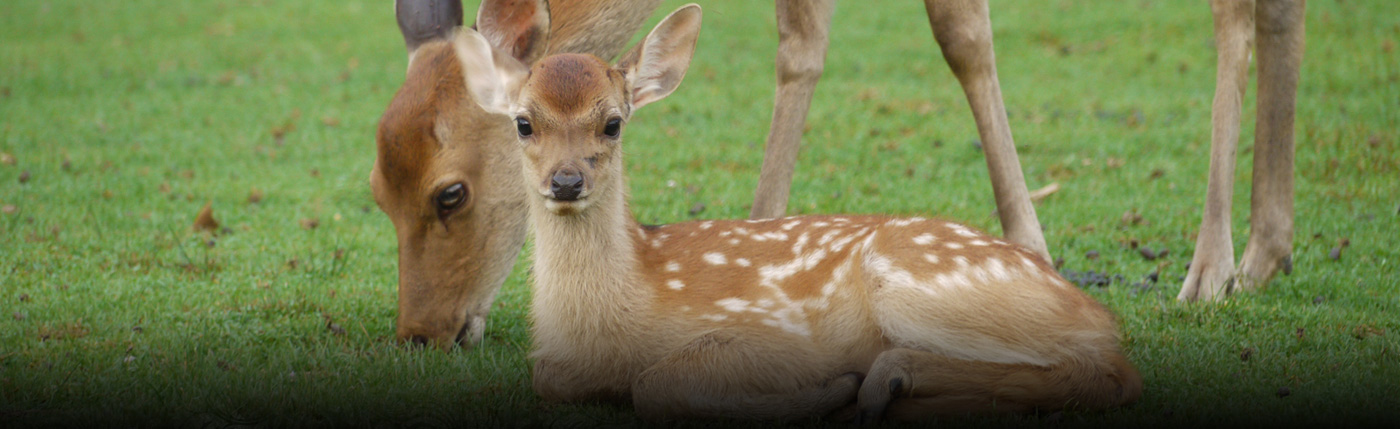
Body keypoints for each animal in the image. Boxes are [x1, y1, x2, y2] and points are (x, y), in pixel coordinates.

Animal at [453, 5, 1142, 423]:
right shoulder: (554, 370)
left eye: (613, 122)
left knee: (1109, 371)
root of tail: (1091, 309)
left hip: (917, 283)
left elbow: (654, 384)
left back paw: (883, 380)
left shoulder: (770, 329)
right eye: (524, 123)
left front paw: (818, 392)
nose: (567, 181)